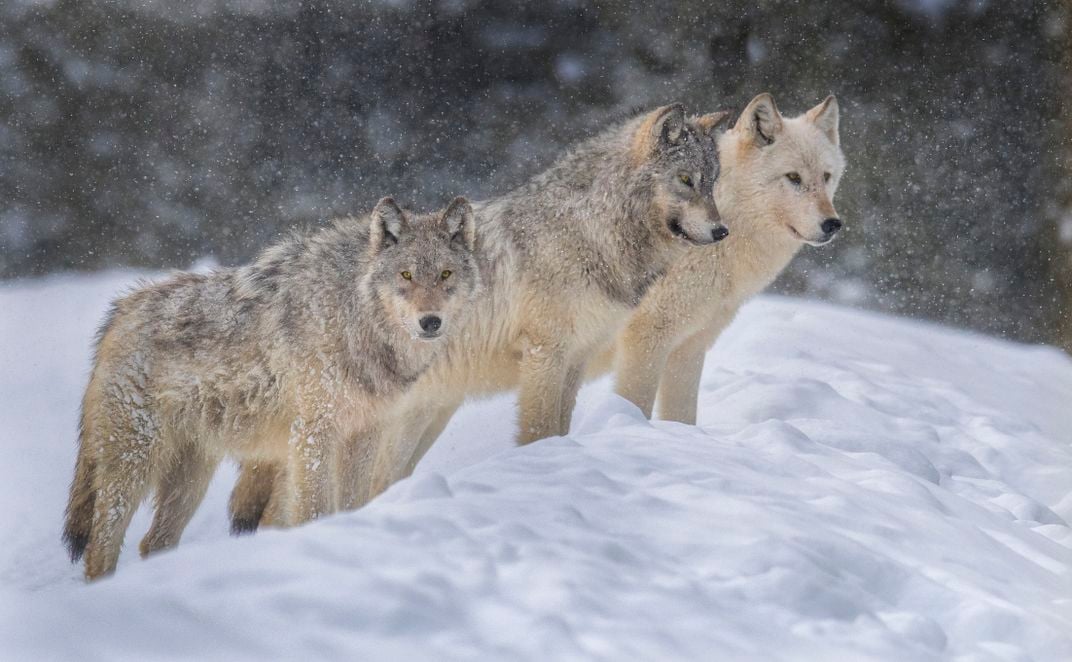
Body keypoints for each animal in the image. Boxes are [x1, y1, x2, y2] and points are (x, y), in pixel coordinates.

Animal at [62, 196, 482, 578]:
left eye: (445, 275)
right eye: (407, 276)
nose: (430, 322)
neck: (353, 316)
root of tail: (119, 312)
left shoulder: (365, 434)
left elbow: (352, 502)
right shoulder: (312, 435)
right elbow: (313, 509)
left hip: (191, 477)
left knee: (153, 542)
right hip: (135, 464)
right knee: (100, 550)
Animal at [225, 104, 728, 524]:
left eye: (712, 182)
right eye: (686, 180)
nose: (723, 231)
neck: (590, 230)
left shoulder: (576, 359)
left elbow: (562, 429)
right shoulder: (544, 354)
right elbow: (540, 430)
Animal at [613, 93, 844, 419]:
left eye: (826, 176)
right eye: (793, 177)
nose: (833, 224)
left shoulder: (690, 347)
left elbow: (683, 417)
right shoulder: (645, 339)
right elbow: (635, 405)